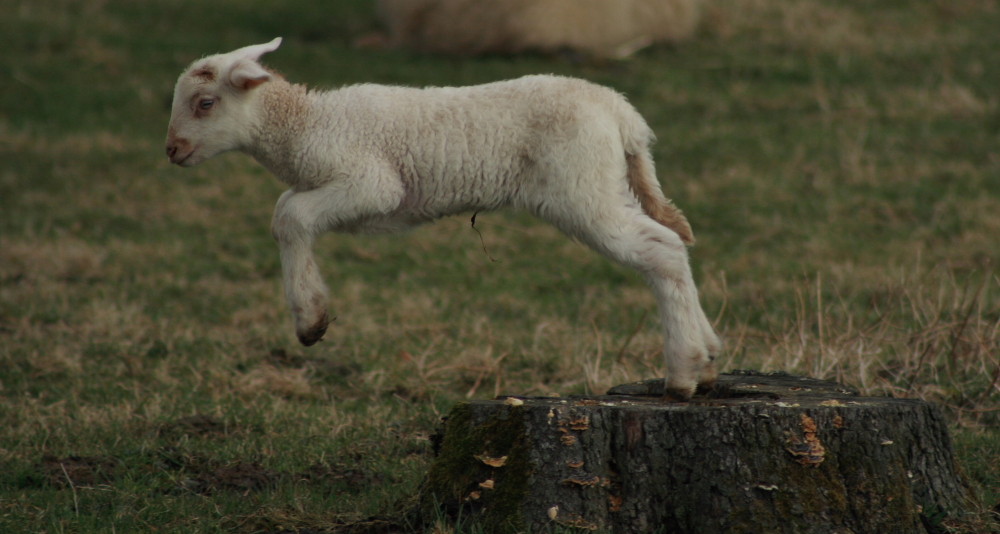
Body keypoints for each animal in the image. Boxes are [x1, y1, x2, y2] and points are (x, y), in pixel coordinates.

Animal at [168, 37, 724, 400]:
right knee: (673, 241)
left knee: (661, 251)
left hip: (582, 189)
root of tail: (622, 113)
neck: (307, 126)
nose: (171, 150)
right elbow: (287, 210)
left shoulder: (370, 184)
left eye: (205, 103)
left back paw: (683, 373)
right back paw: (709, 358)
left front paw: (311, 321)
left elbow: (289, 216)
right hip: (607, 182)